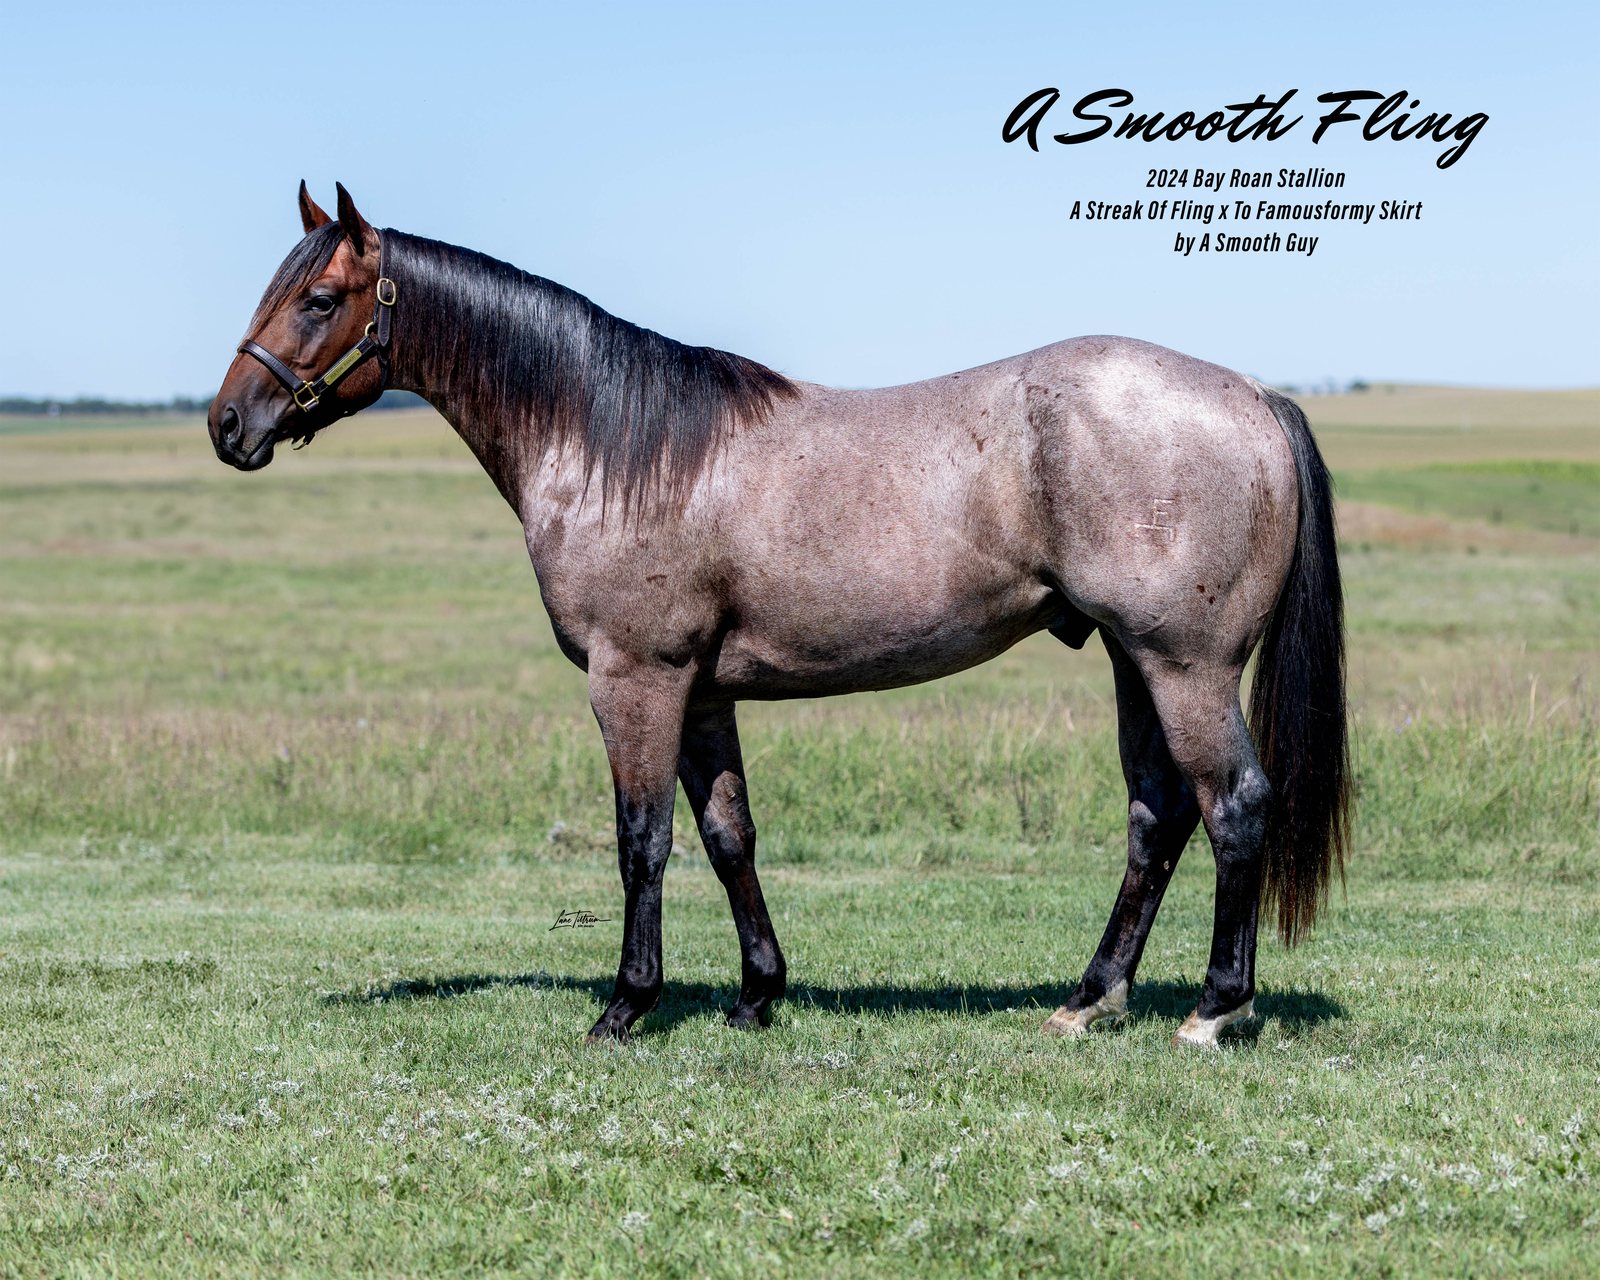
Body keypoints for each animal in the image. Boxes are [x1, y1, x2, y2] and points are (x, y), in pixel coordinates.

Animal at [208, 182, 1348, 1048]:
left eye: (319, 297)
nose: (228, 425)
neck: (614, 443)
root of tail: (1252, 395)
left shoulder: (636, 678)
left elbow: (642, 839)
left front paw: (625, 1006)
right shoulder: (703, 690)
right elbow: (728, 835)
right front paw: (758, 993)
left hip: (1184, 664)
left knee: (1234, 804)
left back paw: (1212, 1009)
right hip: (1130, 658)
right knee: (1158, 814)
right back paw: (1087, 998)